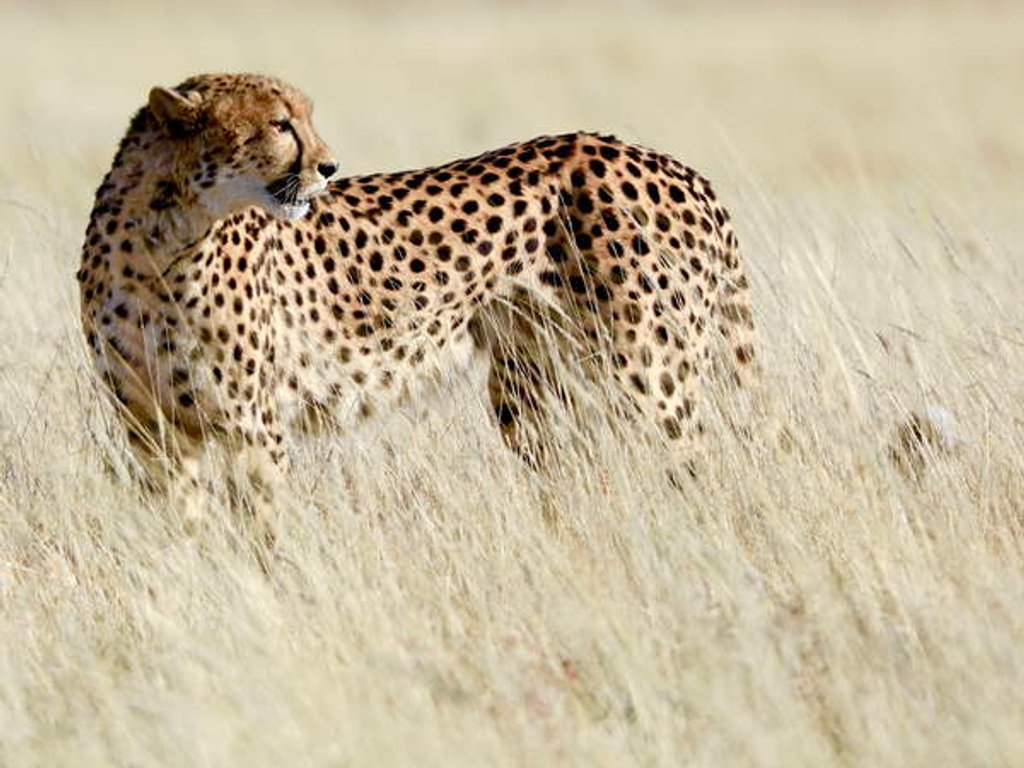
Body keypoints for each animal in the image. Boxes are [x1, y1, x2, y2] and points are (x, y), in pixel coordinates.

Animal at [78, 72, 758, 530]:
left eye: (303, 119)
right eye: (278, 124)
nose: (329, 167)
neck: (162, 238)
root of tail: (673, 164)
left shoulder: (253, 427)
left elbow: (265, 532)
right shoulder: (154, 431)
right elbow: (182, 529)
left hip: (647, 374)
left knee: (697, 466)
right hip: (530, 388)